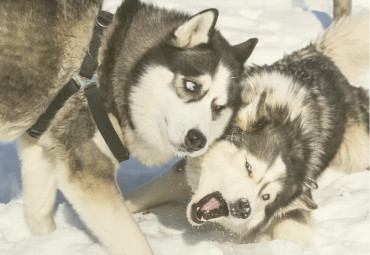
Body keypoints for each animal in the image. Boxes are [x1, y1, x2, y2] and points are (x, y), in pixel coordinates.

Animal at [0, 0, 258, 255]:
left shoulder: (40, 146)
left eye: (218, 108)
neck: (107, 69)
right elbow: (136, 243)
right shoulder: (89, 172)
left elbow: (39, 213)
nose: (197, 139)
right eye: (191, 85)